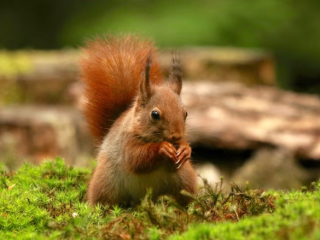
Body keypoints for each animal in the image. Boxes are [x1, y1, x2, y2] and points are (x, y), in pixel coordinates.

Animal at [80, 34, 198, 207]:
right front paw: (162, 148)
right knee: (103, 199)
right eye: (155, 114)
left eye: (186, 113)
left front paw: (185, 149)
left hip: (185, 178)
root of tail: (142, 198)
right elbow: (136, 159)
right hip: (105, 182)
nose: (176, 136)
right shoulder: (126, 143)